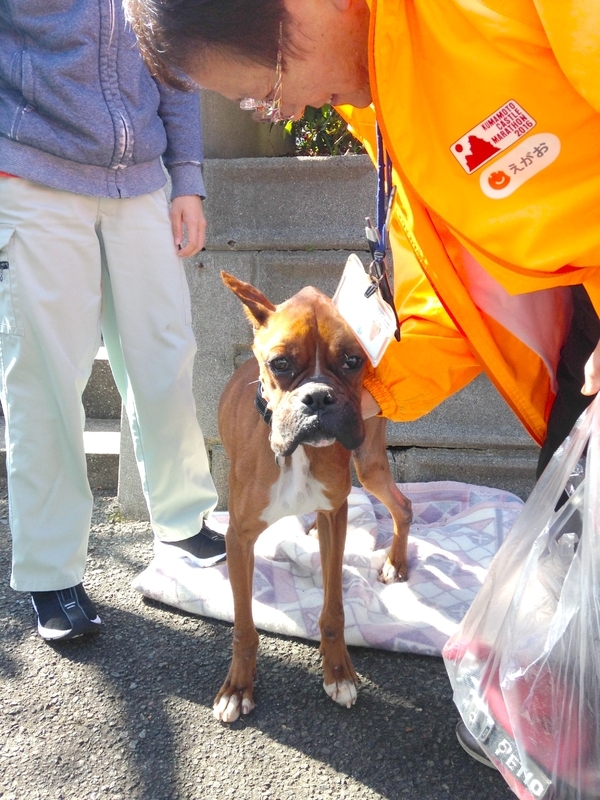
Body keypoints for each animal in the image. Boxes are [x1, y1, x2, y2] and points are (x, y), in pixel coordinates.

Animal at [213, 274, 414, 724]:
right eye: (280, 364)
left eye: (353, 360)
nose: (318, 396)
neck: (297, 454)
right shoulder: (240, 537)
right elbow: (244, 626)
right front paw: (237, 688)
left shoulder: (334, 515)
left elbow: (334, 610)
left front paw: (338, 673)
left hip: (369, 464)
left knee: (403, 506)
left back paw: (394, 563)